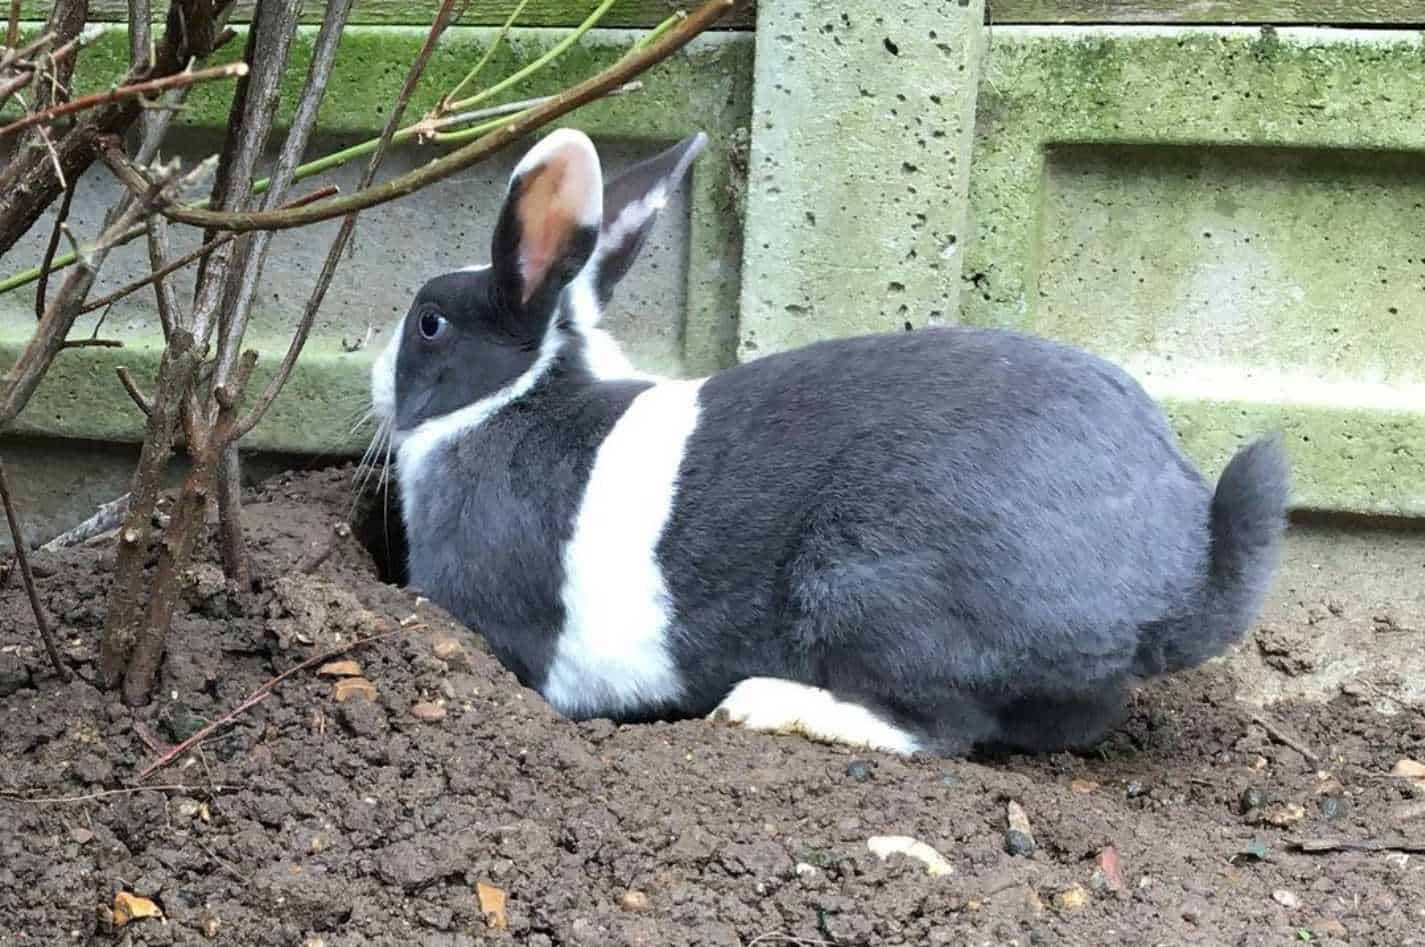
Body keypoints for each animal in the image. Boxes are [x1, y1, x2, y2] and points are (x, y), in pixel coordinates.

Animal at [367, 129, 1293, 757]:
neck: (519, 393)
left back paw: (771, 705)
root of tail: (1175, 580)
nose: (374, 379)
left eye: (430, 323)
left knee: (938, 728)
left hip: (866, 592)